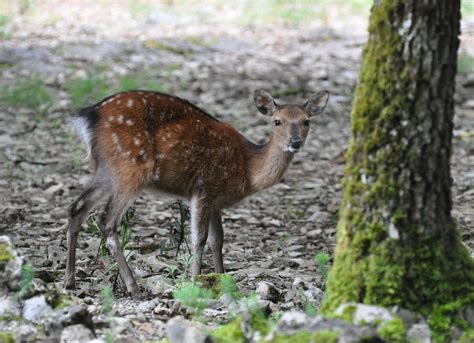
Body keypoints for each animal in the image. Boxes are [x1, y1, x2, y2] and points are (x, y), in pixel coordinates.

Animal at [65, 88, 328, 298]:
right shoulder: (204, 186)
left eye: (306, 121)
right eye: (277, 121)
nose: (295, 142)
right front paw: (194, 282)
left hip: (107, 168)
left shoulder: (217, 200)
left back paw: (70, 281)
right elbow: (199, 238)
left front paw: (222, 280)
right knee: (106, 220)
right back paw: (134, 288)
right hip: (131, 165)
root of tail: (89, 116)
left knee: (76, 207)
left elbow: (218, 240)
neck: (247, 168)